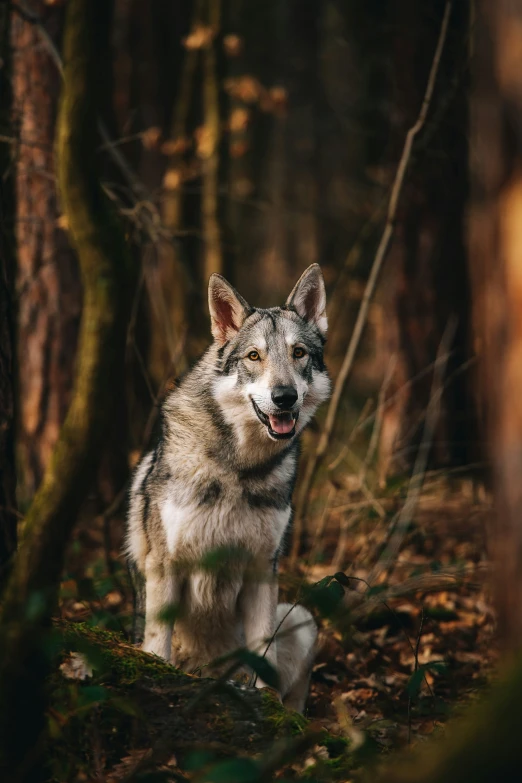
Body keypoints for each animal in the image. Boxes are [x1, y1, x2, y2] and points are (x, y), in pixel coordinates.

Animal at [125, 264, 330, 712]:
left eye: (299, 353)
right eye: (254, 356)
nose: (284, 397)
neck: (240, 469)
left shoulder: (262, 570)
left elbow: (263, 652)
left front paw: (266, 702)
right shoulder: (165, 565)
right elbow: (157, 645)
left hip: (302, 617)